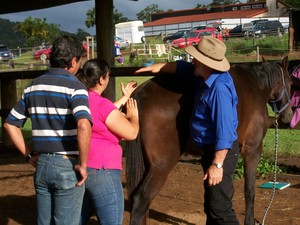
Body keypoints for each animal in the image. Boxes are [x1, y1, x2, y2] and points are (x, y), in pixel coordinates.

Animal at [125, 57, 292, 225]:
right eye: (291, 83)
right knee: (140, 200)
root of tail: (141, 94)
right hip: (161, 166)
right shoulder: (253, 150)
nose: (289, 116)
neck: (255, 85)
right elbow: (249, 190)